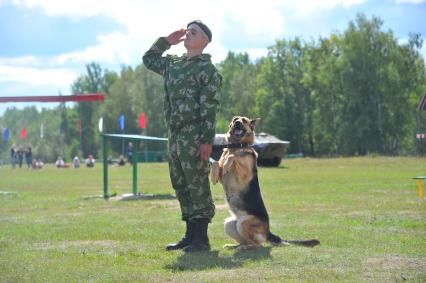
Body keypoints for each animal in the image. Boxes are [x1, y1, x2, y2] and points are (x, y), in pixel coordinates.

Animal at [211, 116, 320, 250]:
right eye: (235, 119)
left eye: (244, 120)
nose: (237, 122)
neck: (236, 146)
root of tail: (268, 232)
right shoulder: (223, 176)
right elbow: (216, 162)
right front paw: (213, 175)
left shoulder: (244, 174)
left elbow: (233, 157)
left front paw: (228, 162)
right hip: (229, 224)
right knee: (245, 241)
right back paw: (233, 246)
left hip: (244, 223)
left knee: (257, 245)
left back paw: (244, 247)